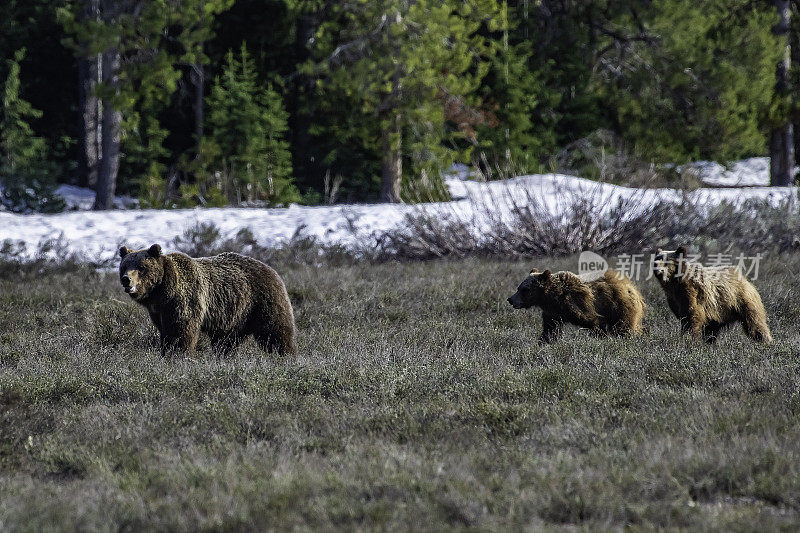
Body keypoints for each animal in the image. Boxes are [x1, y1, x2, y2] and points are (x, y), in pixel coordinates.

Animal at [117, 244, 296, 354]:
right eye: (124, 266)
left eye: (141, 267)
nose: (126, 279)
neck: (162, 293)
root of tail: (271, 268)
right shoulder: (159, 311)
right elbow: (166, 332)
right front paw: (166, 350)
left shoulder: (185, 300)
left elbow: (180, 332)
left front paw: (176, 354)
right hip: (234, 316)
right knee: (226, 342)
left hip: (263, 300)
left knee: (276, 331)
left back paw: (285, 355)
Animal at [510, 268, 648, 342]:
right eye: (518, 288)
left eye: (524, 289)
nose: (510, 299)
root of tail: (632, 287)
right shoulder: (553, 313)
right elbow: (549, 330)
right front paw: (543, 342)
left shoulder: (580, 304)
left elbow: (594, 322)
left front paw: (600, 336)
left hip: (620, 307)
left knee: (626, 327)